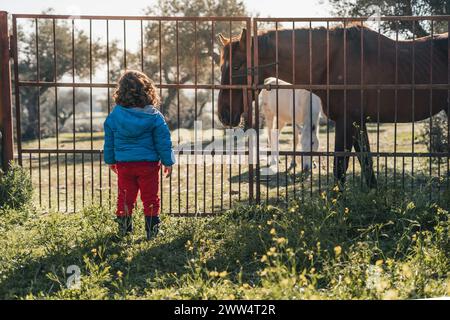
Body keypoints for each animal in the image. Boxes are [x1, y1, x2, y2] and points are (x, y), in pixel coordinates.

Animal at [216, 25, 448, 188]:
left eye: (236, 67)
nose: (224, 114)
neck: (332, 62)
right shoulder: (357, 122)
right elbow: (366, 162)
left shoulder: (347, 121)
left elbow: (340, 168)